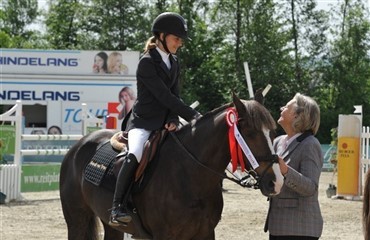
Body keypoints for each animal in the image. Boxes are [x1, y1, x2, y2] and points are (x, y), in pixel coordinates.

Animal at [60, 94, 284, 240]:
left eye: (273, 132)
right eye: (251, 133)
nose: (277, 182)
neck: (189, 175)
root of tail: (77, 146)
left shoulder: (205, 232)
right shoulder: (165, 235)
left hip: (110, 225)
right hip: (77, 221)